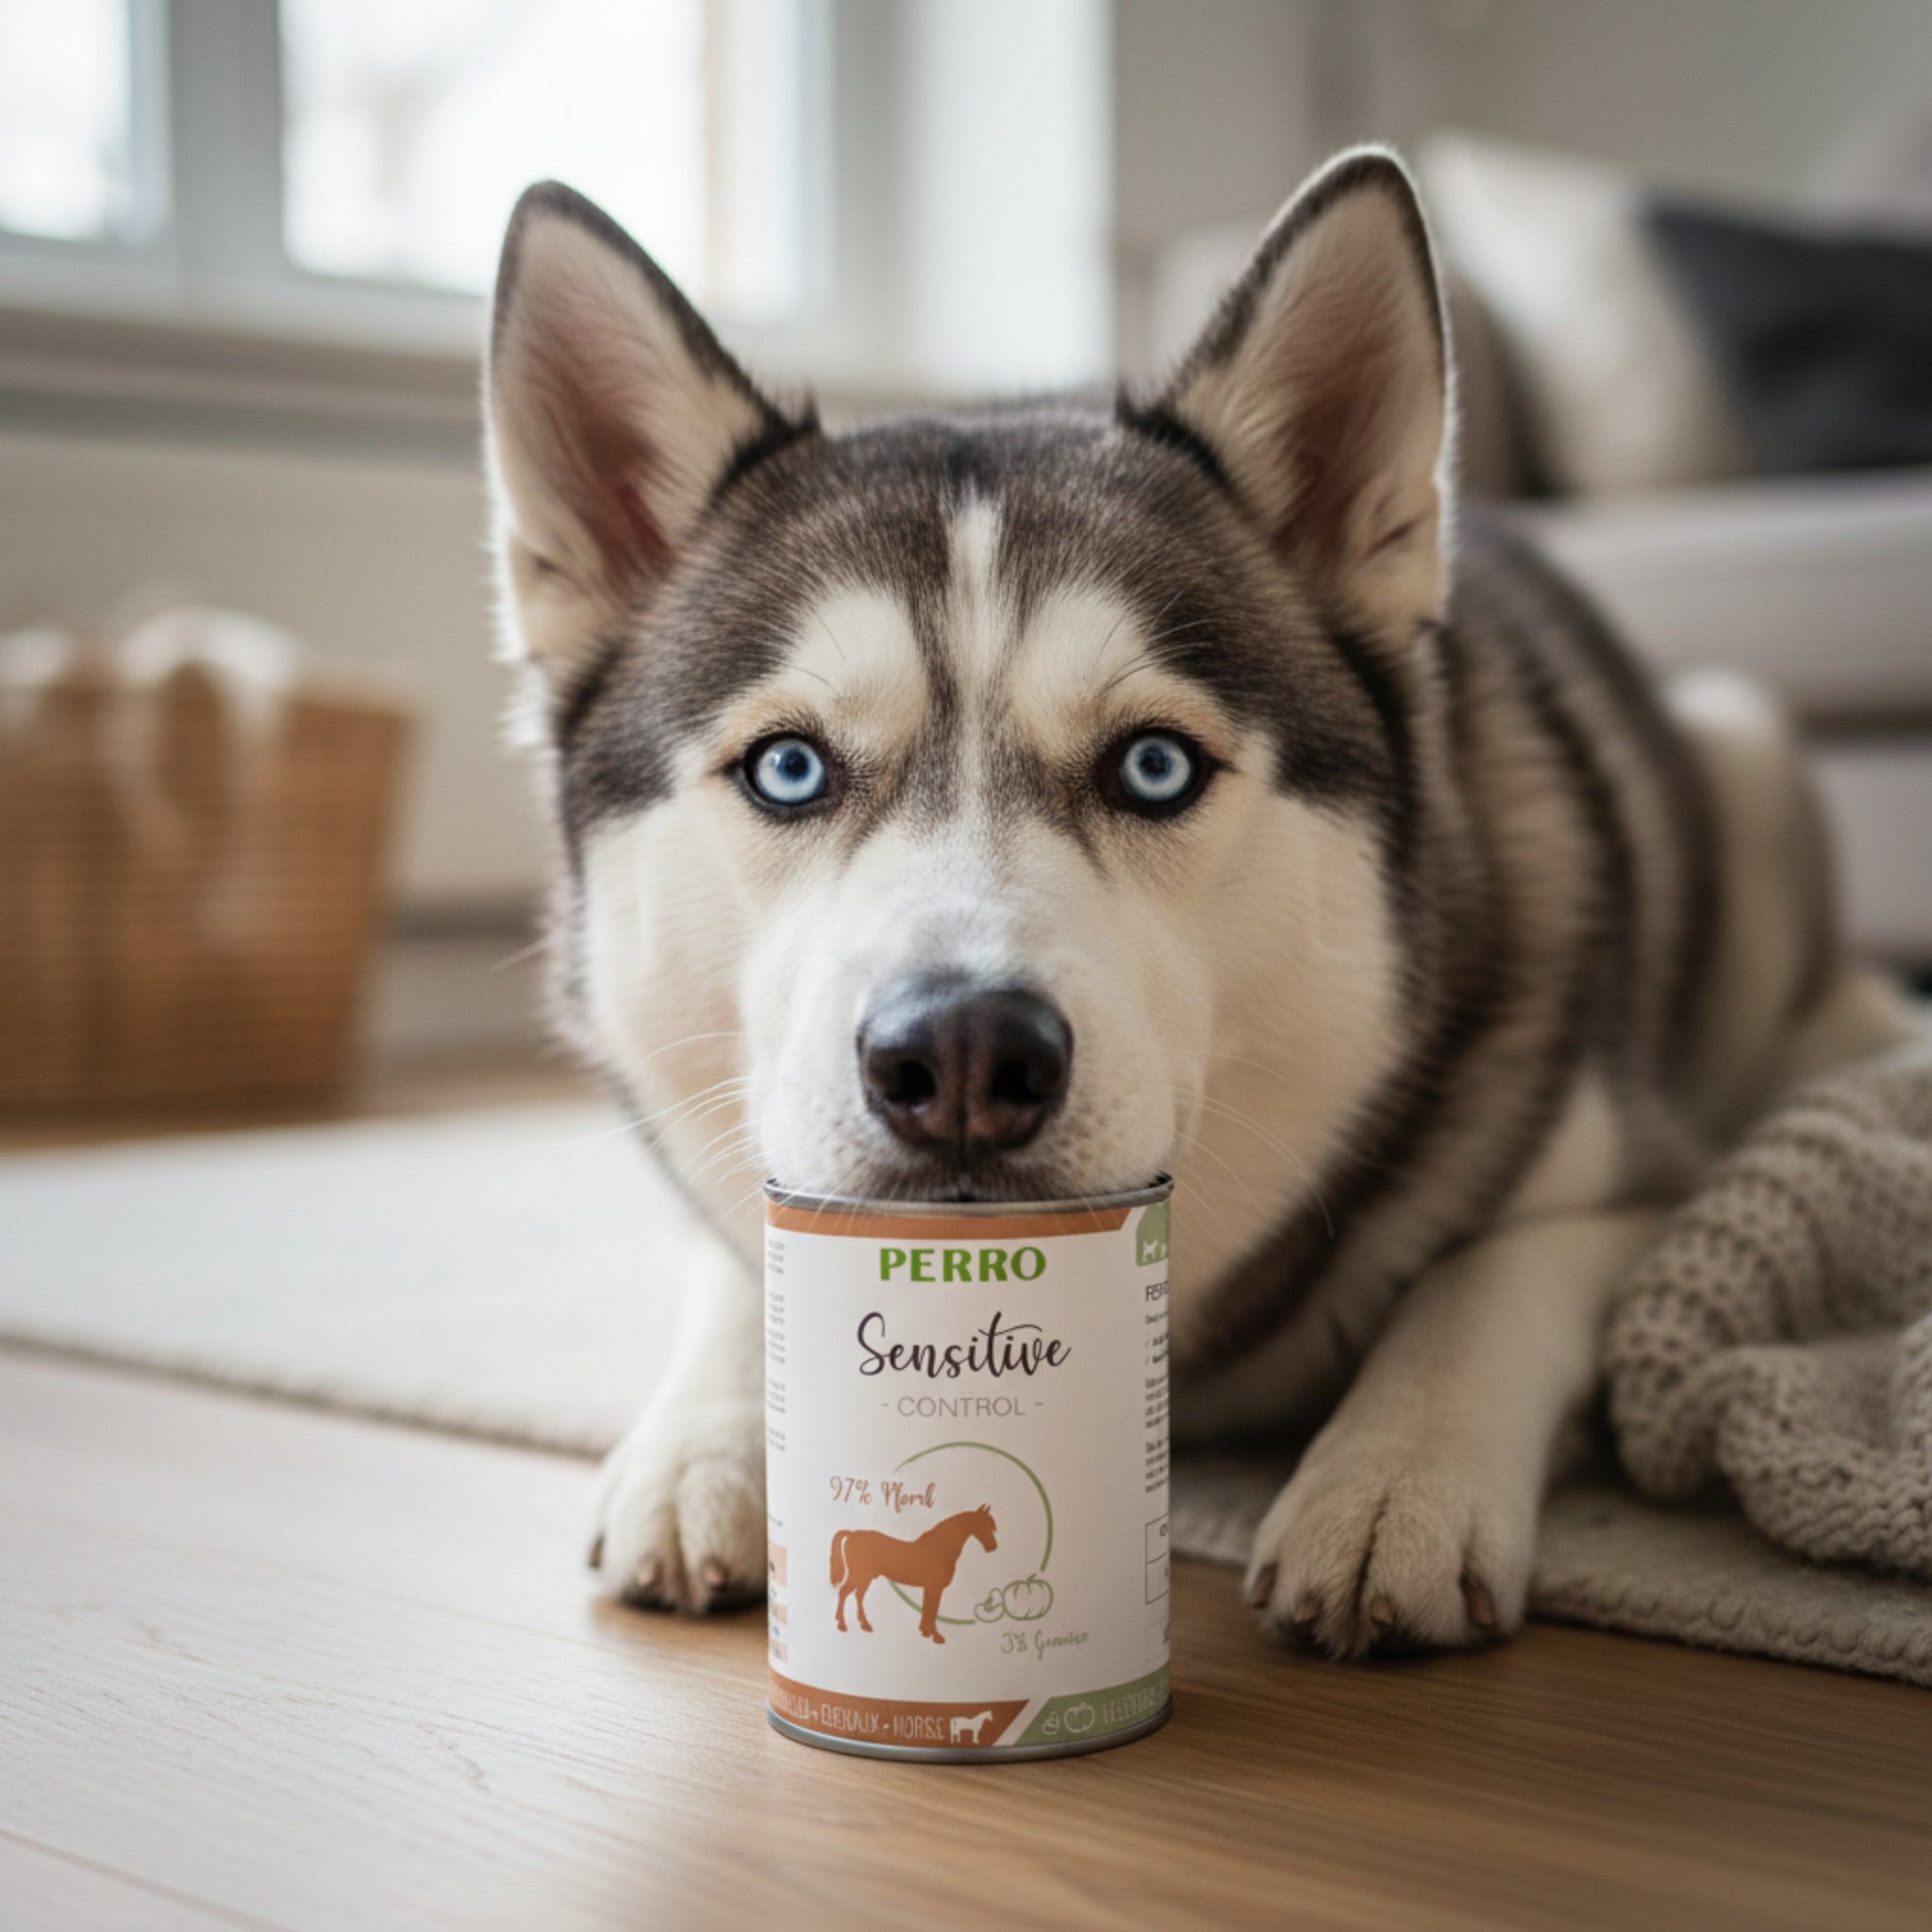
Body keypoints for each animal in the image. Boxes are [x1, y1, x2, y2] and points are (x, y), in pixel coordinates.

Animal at [829, 1505, 998, 1643]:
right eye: (983, 1524)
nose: (993, 1547)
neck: (938, 1549)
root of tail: (852, 1534)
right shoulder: (934, 1588)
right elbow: (932, 1610)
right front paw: (935, 1636)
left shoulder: (930, 1588)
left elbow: (928, 1609)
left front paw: (925, 1632)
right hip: (859, 1575)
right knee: (845, 1592)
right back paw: (842, 1625)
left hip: (865, 1577)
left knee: (858, 1595)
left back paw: (864, 1624)